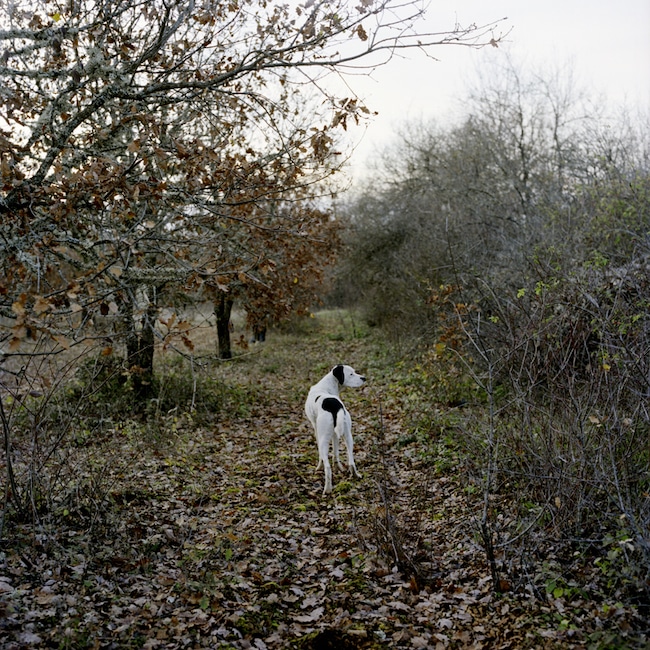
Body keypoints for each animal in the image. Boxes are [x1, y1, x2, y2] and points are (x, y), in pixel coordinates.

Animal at [304, 364, 364, 492]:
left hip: (324, 440)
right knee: (351, 461)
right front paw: (339, 467)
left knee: (327, 468)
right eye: (351, 374)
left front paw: (318, 467)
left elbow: (321, 456)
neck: (327, 386)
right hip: (348, 436)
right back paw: (355, 475)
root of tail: (335, 406)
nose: (364, 378)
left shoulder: (315, 428)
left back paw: (327, 489)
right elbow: (336, 452)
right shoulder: (335, 434)